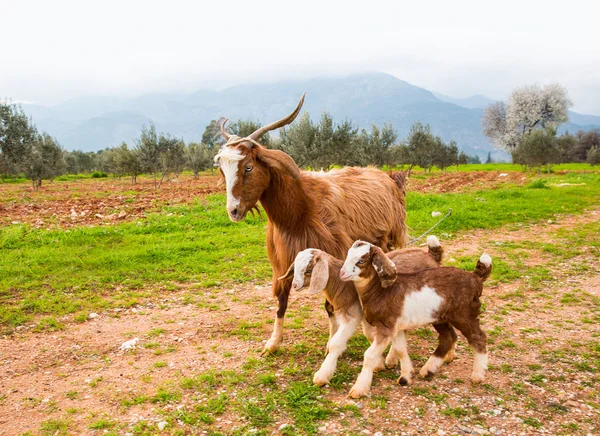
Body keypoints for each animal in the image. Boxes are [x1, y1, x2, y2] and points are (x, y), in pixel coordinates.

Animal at [214, 93, 408, 356]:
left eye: (248, 167)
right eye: (223, 171)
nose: (233, 211)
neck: (299, 212)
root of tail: (387, 177)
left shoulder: (330, 257)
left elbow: (330, 305)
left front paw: (332, 342)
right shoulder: (283, 261)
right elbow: (281, 301)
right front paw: (272, 343)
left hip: (387, 239)